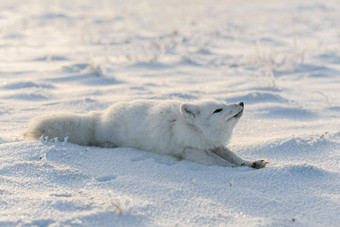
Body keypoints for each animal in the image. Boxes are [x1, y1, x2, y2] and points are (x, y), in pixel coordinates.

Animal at [23, 100, 268, 168]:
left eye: (224, 104)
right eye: (218, 110)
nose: (241, 102)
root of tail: (100, 116)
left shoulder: (213, 145)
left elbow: (233, 156)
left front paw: (251, 163)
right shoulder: (191, 151)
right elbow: (222, 163)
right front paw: (238, 170)